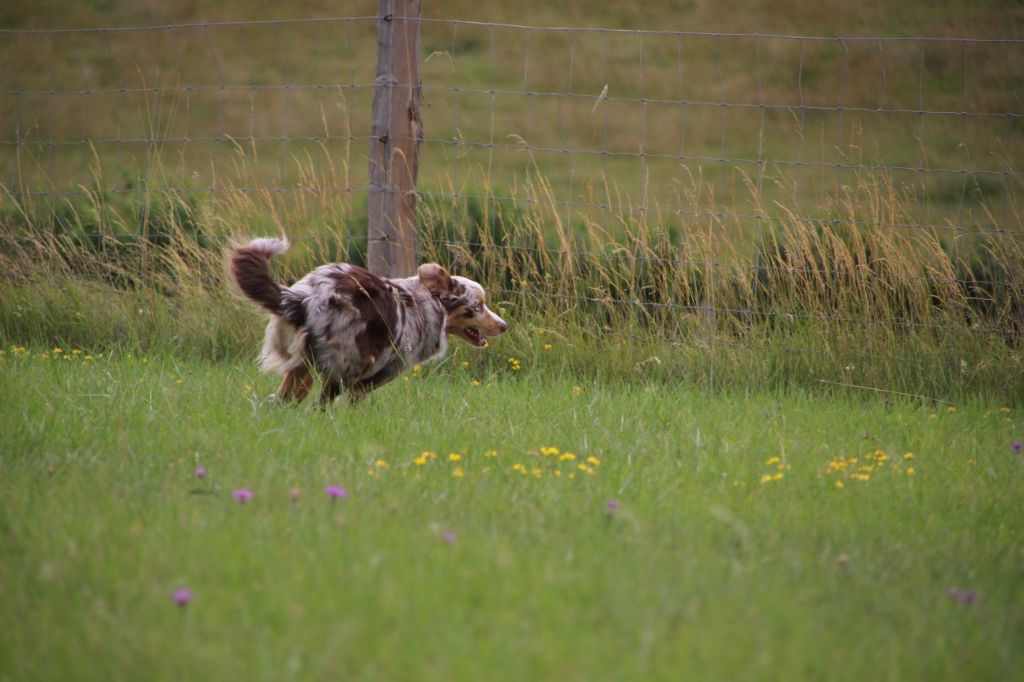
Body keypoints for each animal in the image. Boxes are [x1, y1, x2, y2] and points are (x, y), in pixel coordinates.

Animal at [228, 237, 507, 403]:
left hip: (302, 366)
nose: (504, 326)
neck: (430, 303)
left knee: (281, 402)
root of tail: (305, 298)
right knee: (318, 405)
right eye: (478, 306)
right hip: (345, 361)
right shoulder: (375, 375)